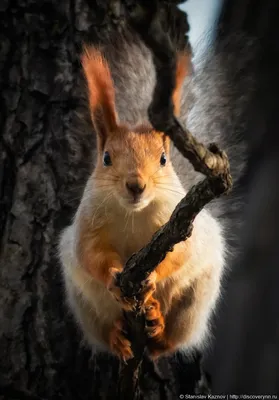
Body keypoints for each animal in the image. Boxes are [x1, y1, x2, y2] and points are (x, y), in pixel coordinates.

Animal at [58, 32, 247, 362]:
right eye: (106, 158)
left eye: (163, 159)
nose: (136, 185)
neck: (133, 214)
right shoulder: (88, 224)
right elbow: (90, 254)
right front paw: (113, 276)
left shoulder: (180, 227)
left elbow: (180, 253)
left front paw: (152, 278)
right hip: (86, 307)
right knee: (104, 326)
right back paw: (117, 338)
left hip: (193, 304)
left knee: (170, 339)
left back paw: (158, 327)